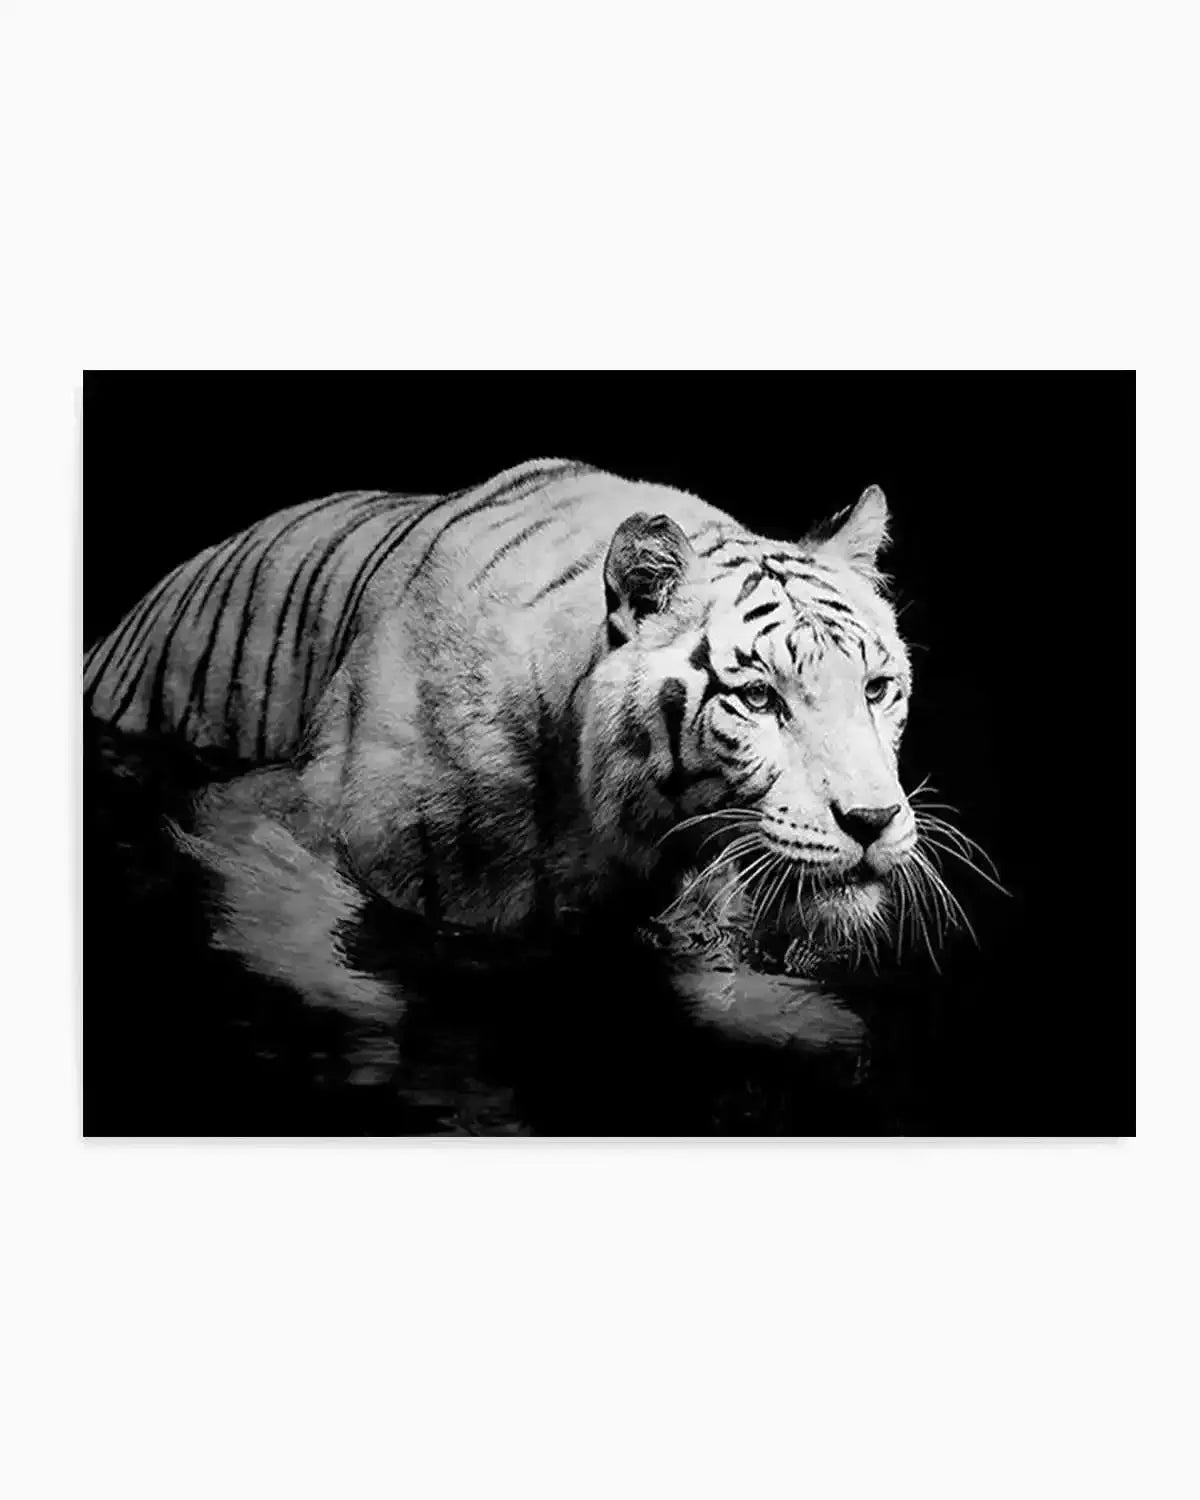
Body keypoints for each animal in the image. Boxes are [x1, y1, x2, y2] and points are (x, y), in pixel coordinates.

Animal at [85, 457, 927, 1045]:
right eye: (758, 699)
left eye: (877, 688)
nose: (873, 820)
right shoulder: (256, 817)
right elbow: (299, 929)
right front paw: (368, 1014)